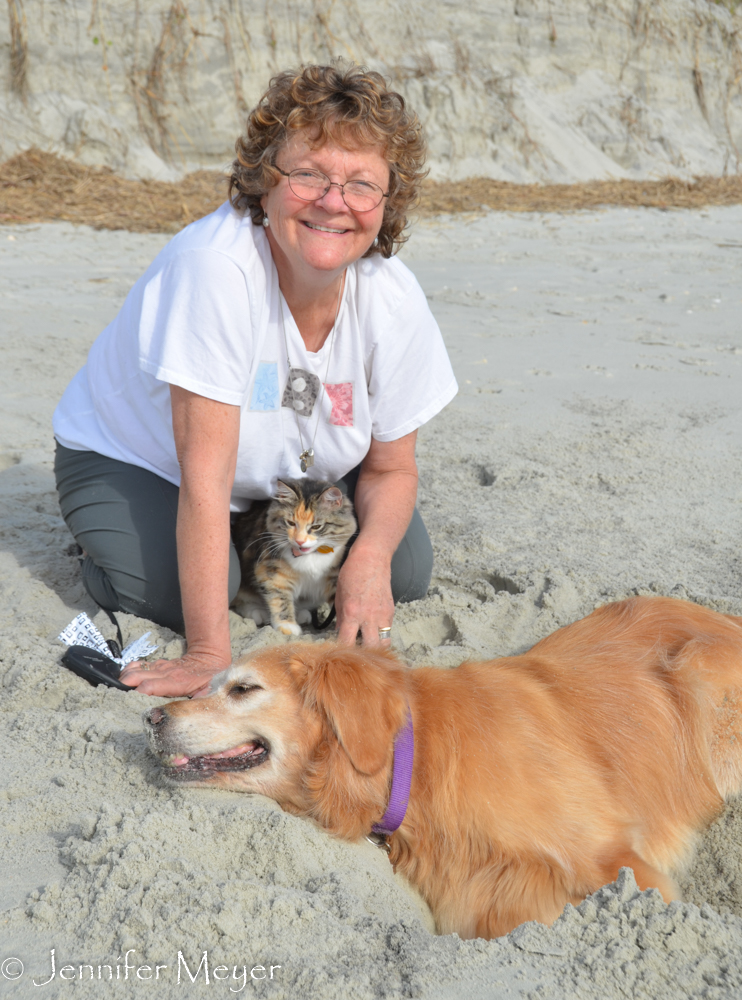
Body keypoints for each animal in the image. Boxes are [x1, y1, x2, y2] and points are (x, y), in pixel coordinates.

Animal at [234, 476, 358, 632]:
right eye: (291, 523)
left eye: (316, 526)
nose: (300, 541)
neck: (310, 557)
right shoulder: (270, 569)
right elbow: (280, 599)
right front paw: (287, 626)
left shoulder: (333, 574)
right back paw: (257, 613)